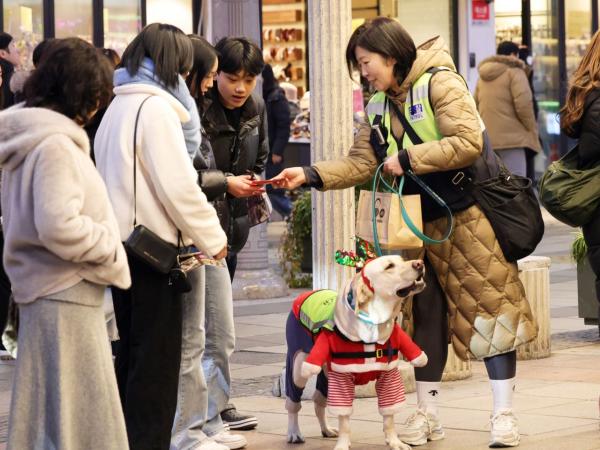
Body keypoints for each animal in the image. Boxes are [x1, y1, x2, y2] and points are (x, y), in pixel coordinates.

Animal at [284, 255, 426, 448]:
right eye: (389, 266)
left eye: (402, 259)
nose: (420, 263)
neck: (374, 323)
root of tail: (305, 294)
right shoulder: (341, 378)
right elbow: (344, 420)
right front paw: (343, 445)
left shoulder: (389, 376)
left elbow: (389, 416)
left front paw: (394, 442)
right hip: (299, 368)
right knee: (293, 403)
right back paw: (294, 432)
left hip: (327, 373)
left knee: (318, 401)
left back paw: (326, 429)